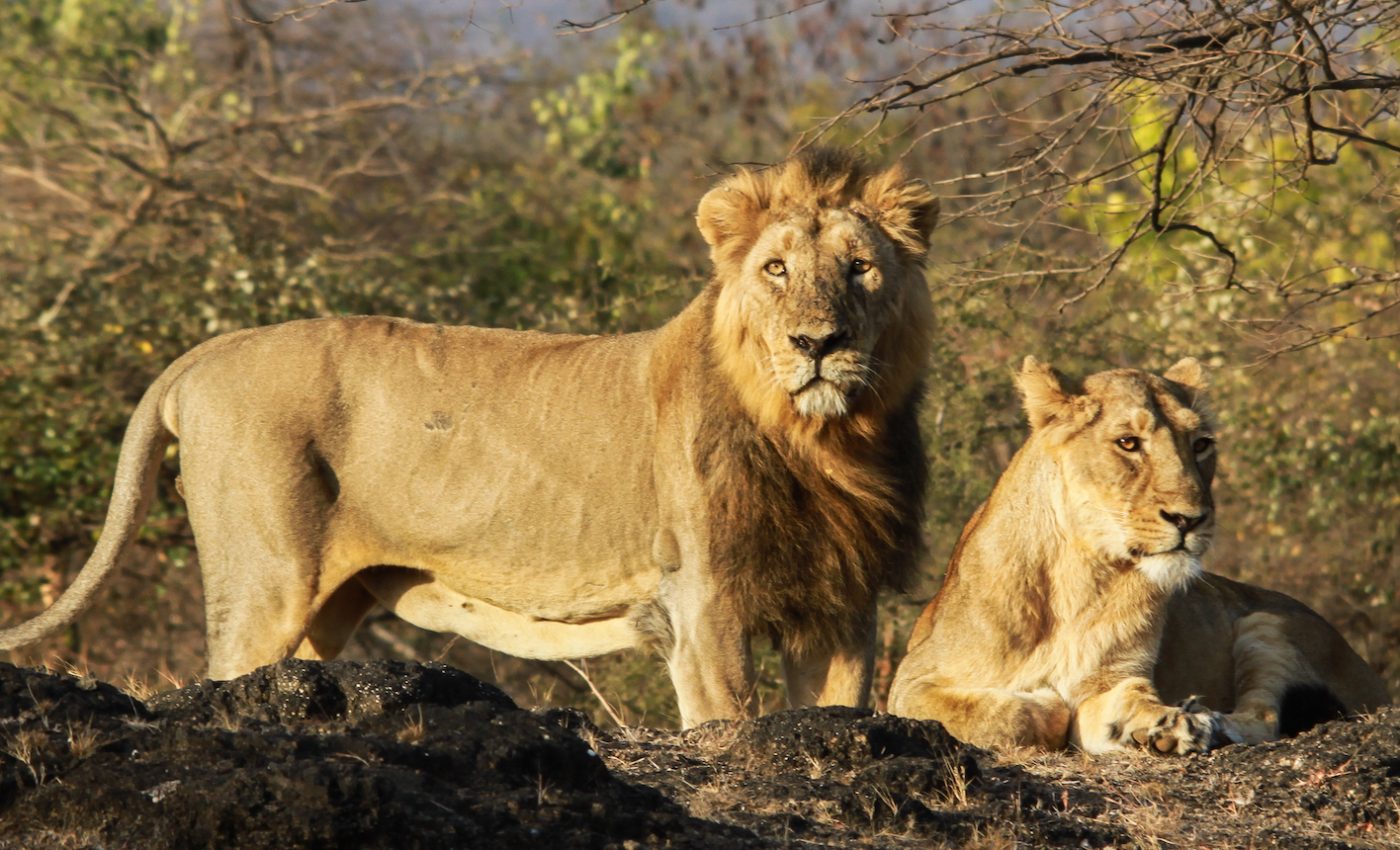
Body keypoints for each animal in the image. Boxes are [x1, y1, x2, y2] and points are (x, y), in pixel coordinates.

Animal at [0, 149, 939, 728]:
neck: (821, 442)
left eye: (860, 268)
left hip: (320, 615)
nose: (817, 343)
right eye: (776, 269)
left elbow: (836, 710)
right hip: (265, 581)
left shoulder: (842, 606)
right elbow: (729, 722)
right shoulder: (701, 604)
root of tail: (207, 352)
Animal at [888, 357, 1388, 754]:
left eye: (1200, 444)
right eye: (1128, 443)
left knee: (1264, 718)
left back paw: (1211, 721)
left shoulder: (1115, 676)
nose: (1190, 518)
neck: (1079, 578)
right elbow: (1010, 714)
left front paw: (1168, 724)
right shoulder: (911, 683)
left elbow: (1127, 695)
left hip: (1267, 623)